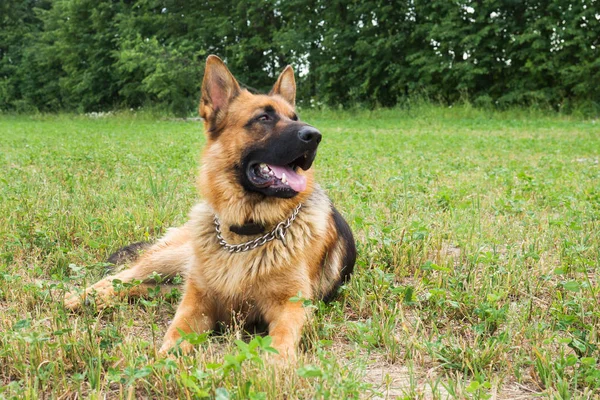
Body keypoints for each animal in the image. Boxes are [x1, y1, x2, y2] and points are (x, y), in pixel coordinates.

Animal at [64, 55, 356, 360]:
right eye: (263, 118)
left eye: (294, 118)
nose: (316, 136)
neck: (245, 235)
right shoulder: (197, 302)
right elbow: (176, 333)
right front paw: (164, 360)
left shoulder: (291, 306)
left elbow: (282, 341)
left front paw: (274, 365)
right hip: (169, 259)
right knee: (123, 277)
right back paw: (82, 297)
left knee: (144, 287)